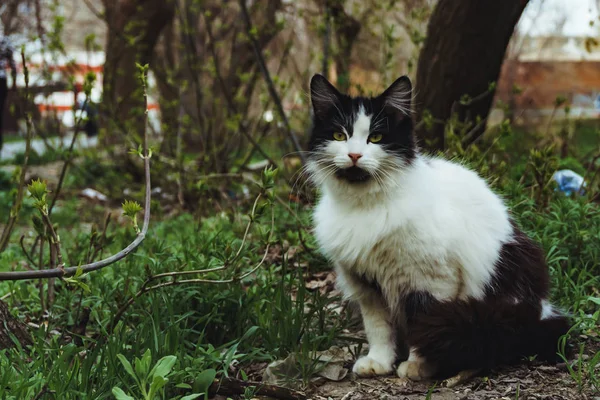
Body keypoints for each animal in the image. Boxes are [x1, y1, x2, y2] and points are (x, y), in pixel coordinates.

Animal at [310, 73, 572, 380]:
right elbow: (378, 329)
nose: (354, 156)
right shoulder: (367, 285)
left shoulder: (430, 280)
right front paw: (379, 362)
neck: (364, 206)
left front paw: (417, 366)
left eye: (376, 137)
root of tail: (541, 308)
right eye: (339, 135)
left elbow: (421, 322)